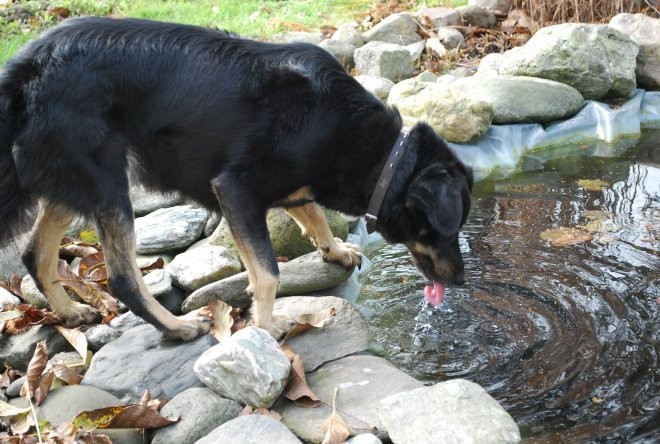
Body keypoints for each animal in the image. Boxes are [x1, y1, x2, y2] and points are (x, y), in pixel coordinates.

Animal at [1, 15, 474, 338]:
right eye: (445, 229)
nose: (462, 281)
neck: (382, 157)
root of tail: (25, 69)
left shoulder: (285, 187)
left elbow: (312, 213)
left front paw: (335, 249)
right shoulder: (236, 190)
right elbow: (267, 272)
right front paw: (266, 326)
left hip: (71, 180)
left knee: (35, 254)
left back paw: (69, 313)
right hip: (109, 184)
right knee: (120, 277)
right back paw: (176, 326)